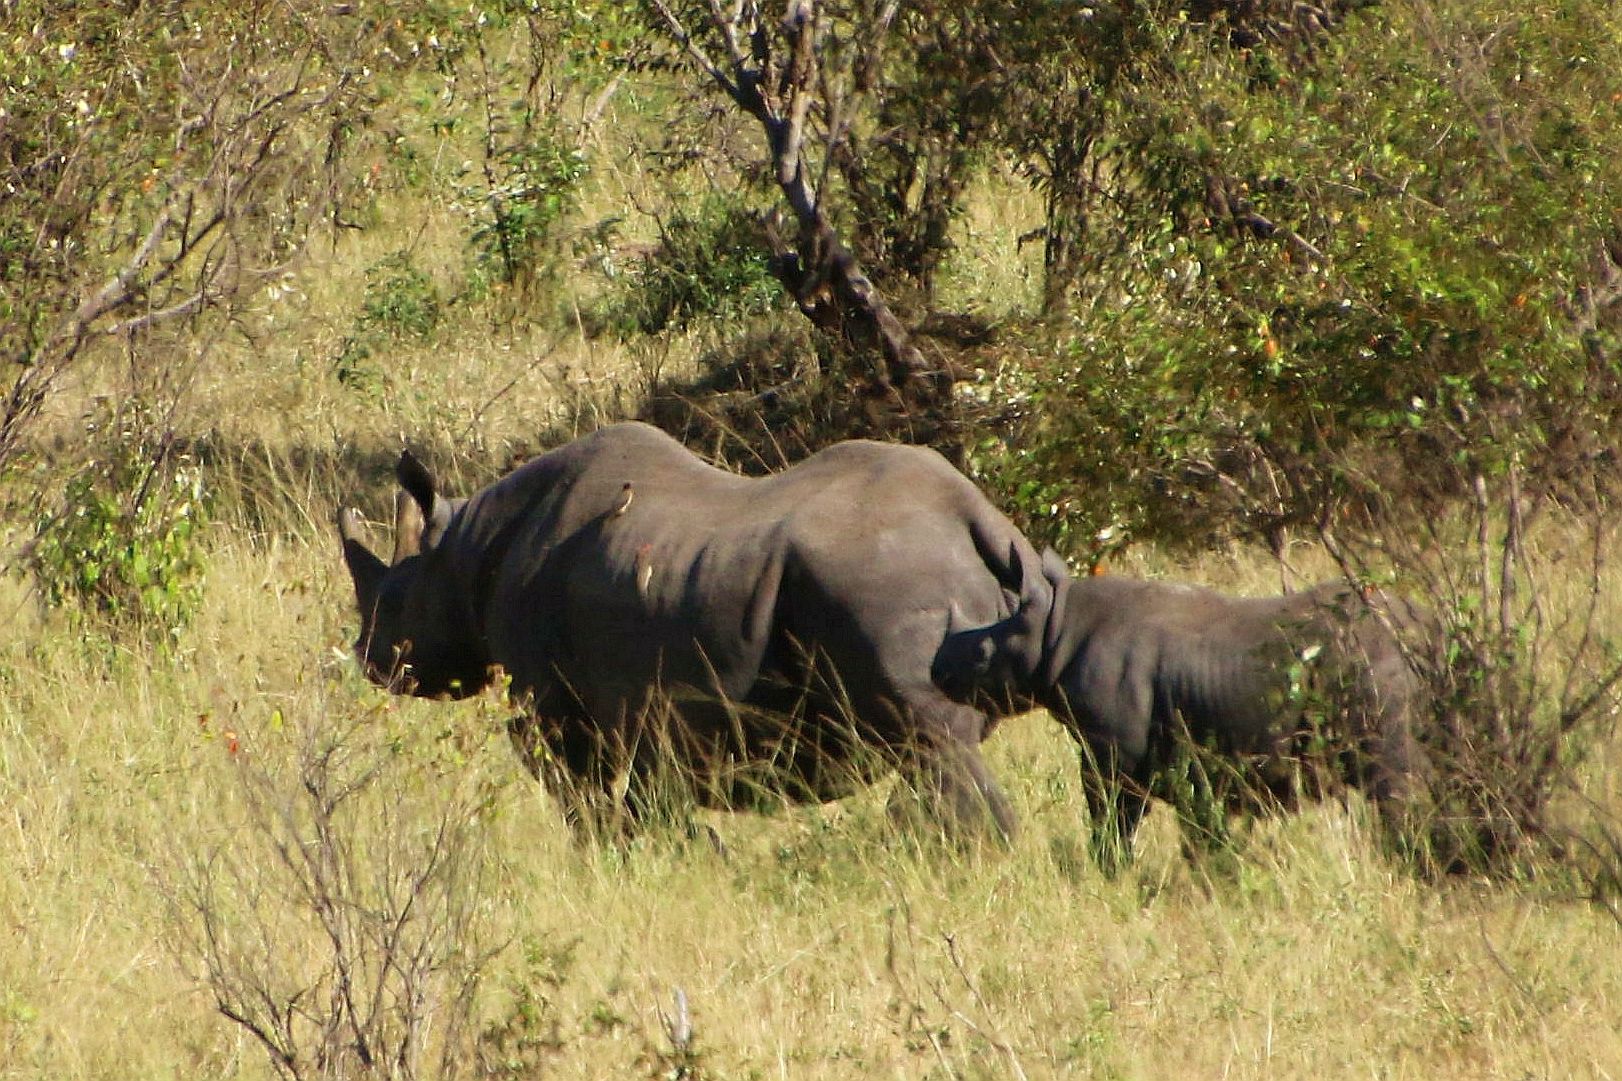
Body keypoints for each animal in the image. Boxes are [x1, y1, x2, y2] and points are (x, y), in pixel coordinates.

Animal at [342, 418, 1051, 831]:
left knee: (936, 748)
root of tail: (978, 516)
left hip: (887, 581)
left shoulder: (553, 701)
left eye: (393, 602)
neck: (466, 549)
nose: (369, 660)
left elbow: (583, 798)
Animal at [934, 548, 1427, 857]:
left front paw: (1111, 874)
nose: (935, 671)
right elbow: (1203, 831)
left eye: (981, 656)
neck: (1055, 627)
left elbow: (1111, 817)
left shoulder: (1112, 753)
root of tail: (1423, 627)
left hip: (1370, 667)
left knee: (1393, 781)